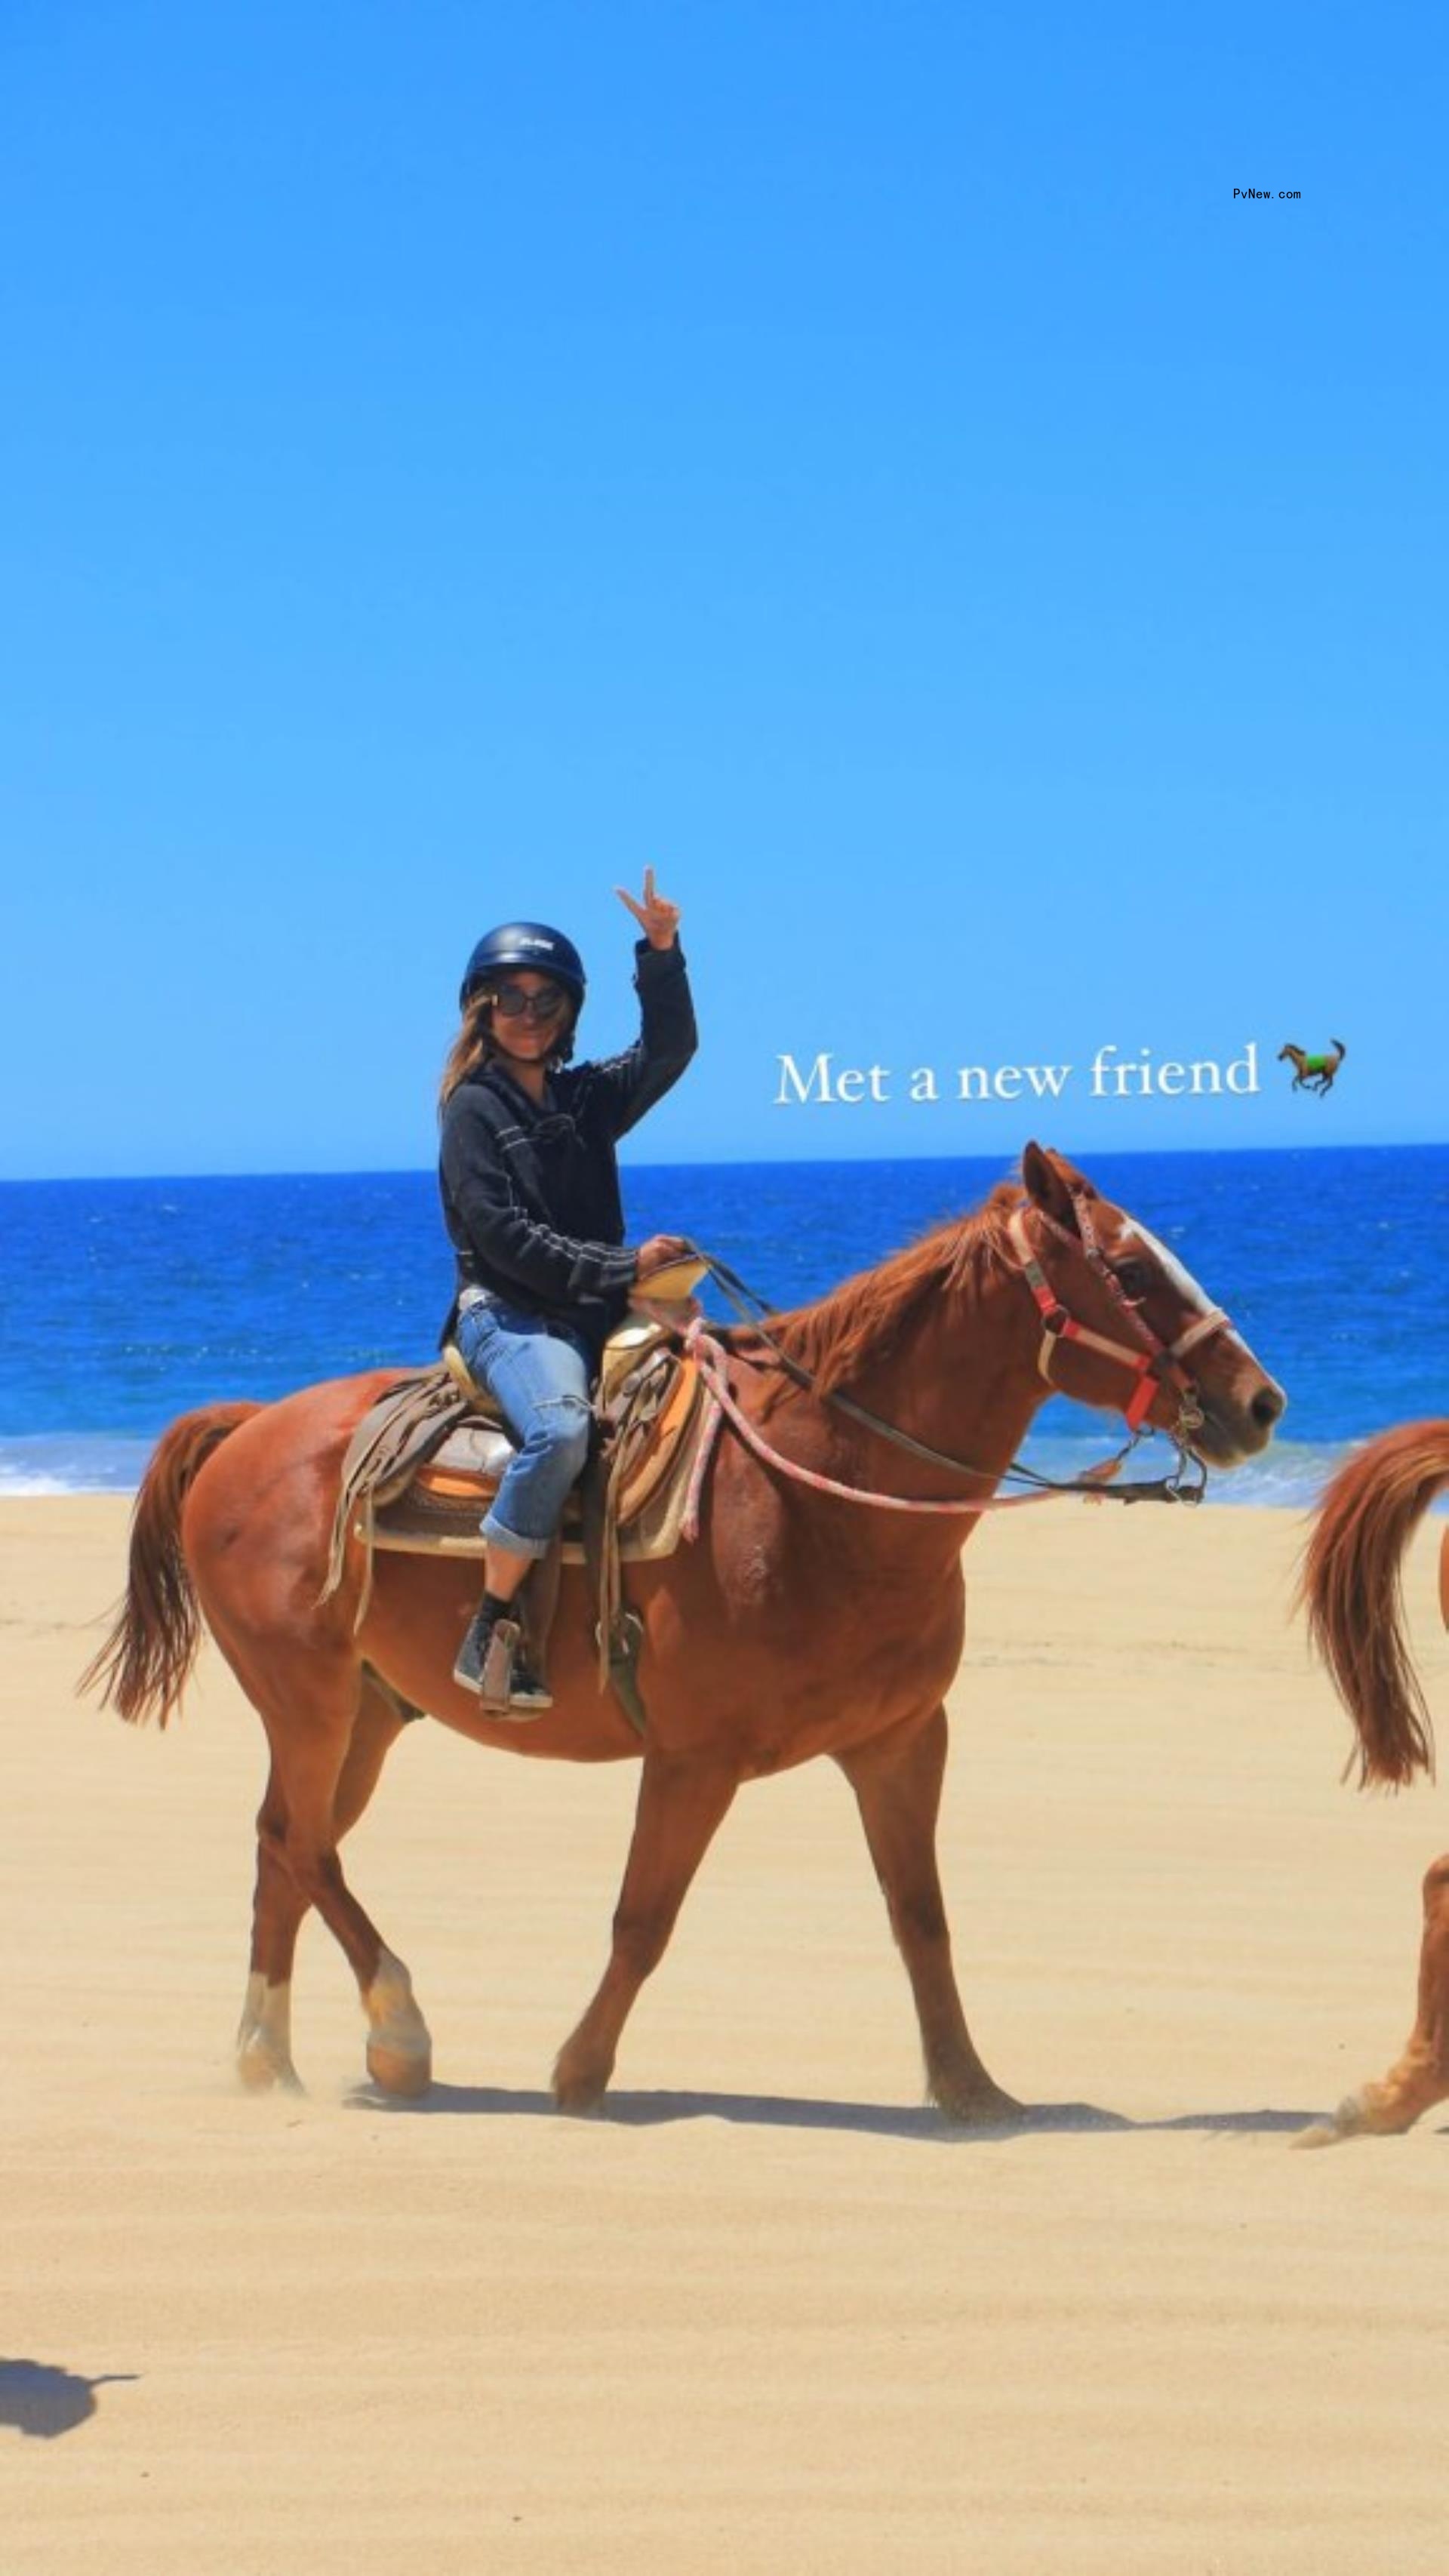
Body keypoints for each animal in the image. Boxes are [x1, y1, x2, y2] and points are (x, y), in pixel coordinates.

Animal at [82, 1143, 1284, 2122]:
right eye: (1131, 1271)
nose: (1262, 1402)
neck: (818, 1492)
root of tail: (247, 1429)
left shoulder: (902, 1742)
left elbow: (921, 1916)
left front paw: (970, 2087)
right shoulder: (693, 1758)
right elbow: (644, 1918)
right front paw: (579, 2072)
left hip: (371, 1714)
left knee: (283, 1847)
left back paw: (268, 2055)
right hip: (311, 1700)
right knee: (300, 1844)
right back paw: (397, 2032)